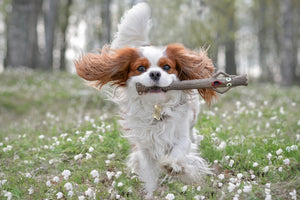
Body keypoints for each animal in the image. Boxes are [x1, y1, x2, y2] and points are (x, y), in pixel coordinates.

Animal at [74, 3, 216, 198]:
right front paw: (151, 193)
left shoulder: (181, 136)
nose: (155, 73)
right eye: (140, 68)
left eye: (167, 67)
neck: (156, 108)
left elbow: (178, 152)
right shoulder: (146, 148)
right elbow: (149, 178)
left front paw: (172, 166)